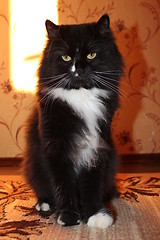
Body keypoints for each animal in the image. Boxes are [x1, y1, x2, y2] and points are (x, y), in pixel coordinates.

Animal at [23, 13, 124, 229]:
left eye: (91, 55)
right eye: (66, 57)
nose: (78, 68)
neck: (81, 95)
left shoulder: (97, 146)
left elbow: (91, 185)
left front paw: (95, 214)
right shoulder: (56, 147)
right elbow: (63, 184)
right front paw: (69, 216)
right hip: (34, 166)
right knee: (43, 189)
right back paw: (44, 204)